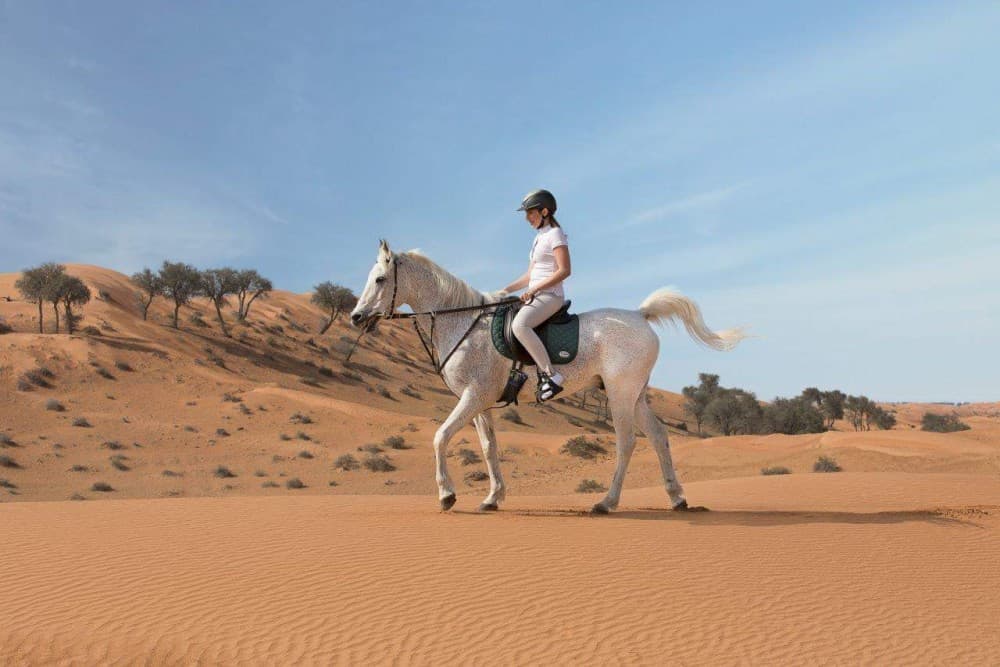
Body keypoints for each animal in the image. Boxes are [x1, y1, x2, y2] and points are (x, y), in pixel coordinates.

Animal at [350, 240, 746, 514]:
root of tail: (640, 315)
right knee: (660, 437)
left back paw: (606, 503)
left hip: (619, 394)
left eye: (380, 279)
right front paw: (493, 498)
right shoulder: (480, 403)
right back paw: (677, 498)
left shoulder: (472, 397)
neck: (463, 321)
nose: (355, 317)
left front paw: (447, 495)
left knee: (626, 443)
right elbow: (489, 448)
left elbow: (440, 437)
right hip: (636, 395)